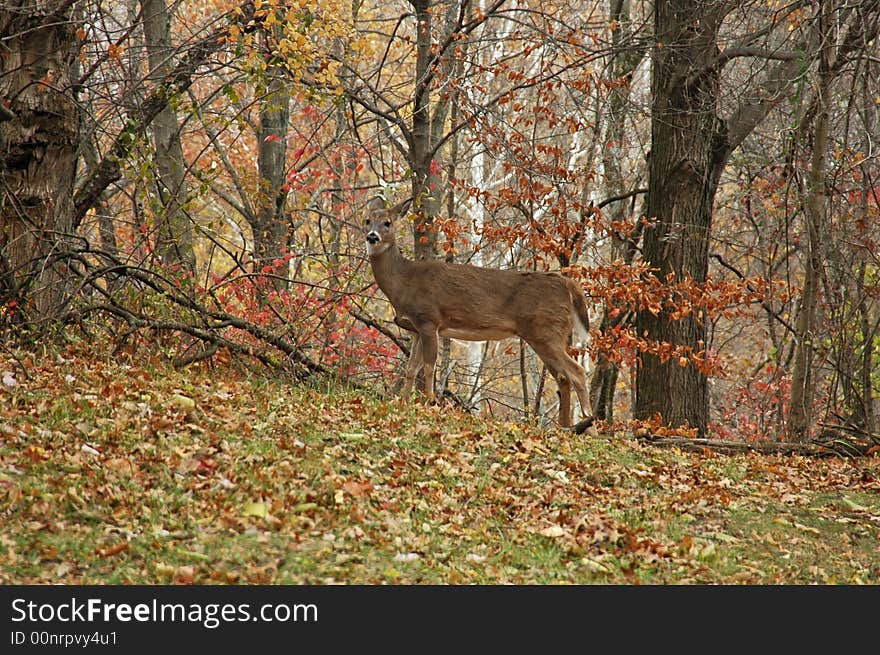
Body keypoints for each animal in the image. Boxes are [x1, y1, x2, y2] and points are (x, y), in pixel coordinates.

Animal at [360, 200, 596, 436]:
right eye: (367, 220)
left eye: (387, 223)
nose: (372, 236)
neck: (404, 280)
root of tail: (568, 284)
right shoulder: (417, 328)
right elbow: (411, 369)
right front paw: (403, 402)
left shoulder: (429, 319)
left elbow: (429, 366)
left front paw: (430, 404)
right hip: (546, 334)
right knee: (563, 377)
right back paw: (565, 426)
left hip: (546, 331)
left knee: (577, 372)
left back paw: (589, 424)